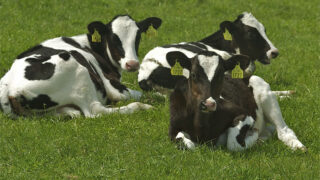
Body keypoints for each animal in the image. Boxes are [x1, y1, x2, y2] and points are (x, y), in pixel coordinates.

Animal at [0, 14, 162, 117]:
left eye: (138, 37)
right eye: (113, 38)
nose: (132, 64)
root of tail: (9, 87)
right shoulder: (113, 87)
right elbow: (148, 93)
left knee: (75, 113)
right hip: (76, 70)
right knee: (95, 110)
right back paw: (143, 107)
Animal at [169, 51, 306, 151]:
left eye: (220, 75)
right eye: (193, 74)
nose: (208, 104)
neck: (202, 127)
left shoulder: (245, 114)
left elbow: (233, 144)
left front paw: (252, 135)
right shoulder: (173, 129)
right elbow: (187, 144)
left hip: (265, 92)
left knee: (284, 131)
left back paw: (298, 146)